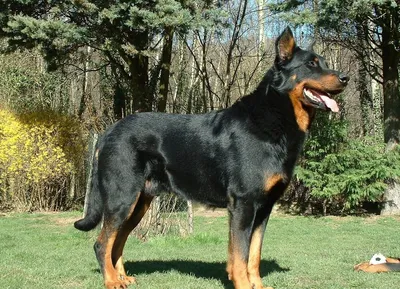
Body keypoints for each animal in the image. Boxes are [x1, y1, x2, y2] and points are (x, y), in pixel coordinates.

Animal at [75, 27, 350, 288]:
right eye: (311, 64)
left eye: (325, 62)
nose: (345, 78)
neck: (276, 117)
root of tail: (108, 132)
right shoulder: (243, 203)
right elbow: (239, 256)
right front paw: (243, 285)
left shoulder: (264, 207)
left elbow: (254, 255)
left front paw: (257, 285)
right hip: (122, 198)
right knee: (102, 243)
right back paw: (112, 281)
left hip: (139, 202)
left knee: (118, 240)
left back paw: (122, 277)